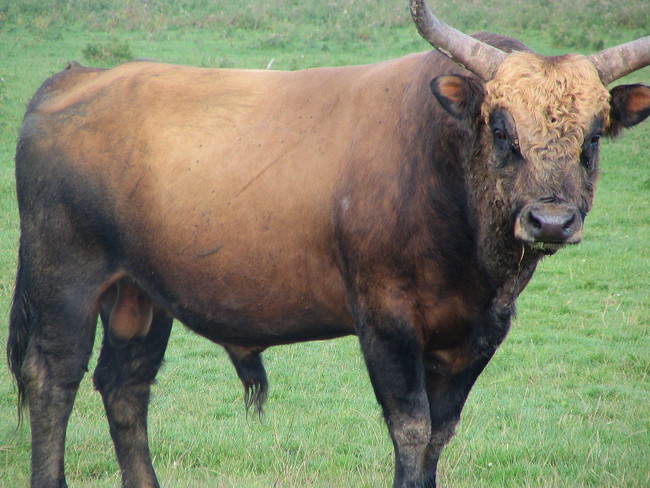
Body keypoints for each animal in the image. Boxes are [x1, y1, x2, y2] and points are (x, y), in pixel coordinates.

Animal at [6, 0, 648, 488]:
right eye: (500, 128)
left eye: (593, 136)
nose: (550, 221)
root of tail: (77, 77)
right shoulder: (385, 321)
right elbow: (411, 430)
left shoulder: (476, 334)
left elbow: (439, 434)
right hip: (65, 281)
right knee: (53, 379)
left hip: (138, 294)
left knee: (125, 386)